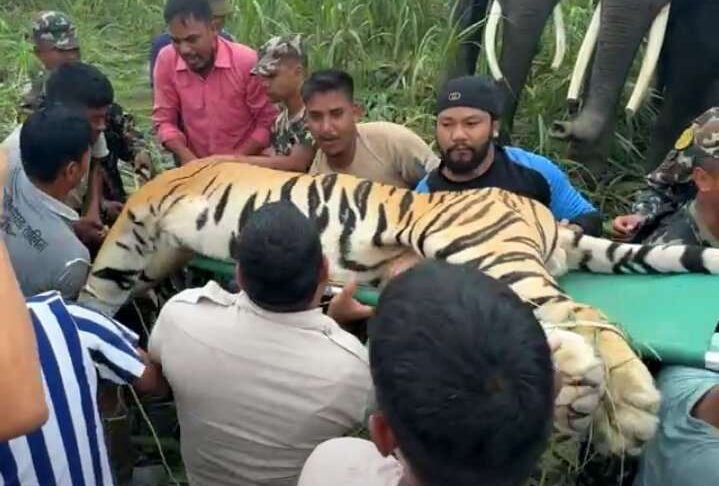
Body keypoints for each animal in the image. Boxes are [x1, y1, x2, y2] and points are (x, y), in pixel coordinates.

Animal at [77, 159, 719, 456]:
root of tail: (544, 215)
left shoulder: (141, 215)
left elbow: (101, 277)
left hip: (486, 249)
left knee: (590, 317)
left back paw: (630, 410)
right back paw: (586, 403)